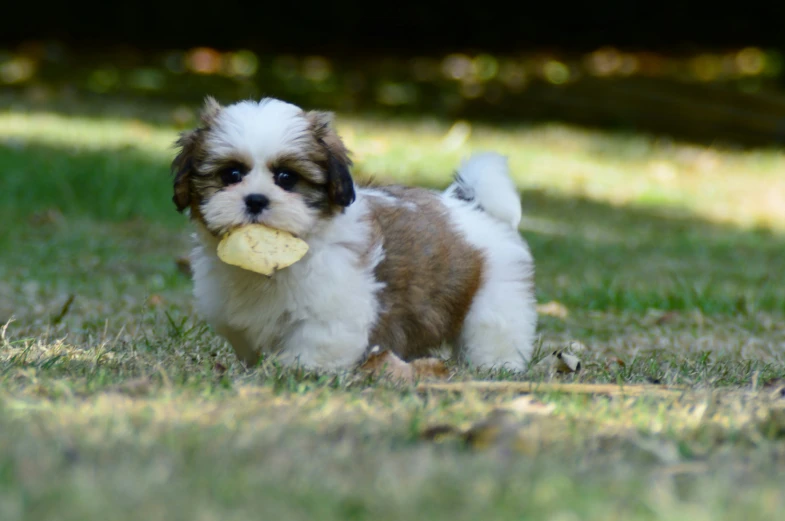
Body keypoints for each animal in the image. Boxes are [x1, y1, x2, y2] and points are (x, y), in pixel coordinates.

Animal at [172, 96, 540, 370]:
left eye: (287, 178)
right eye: (231, 175)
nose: (256, 200)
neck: (275, 259)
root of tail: (472, 205)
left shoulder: (334, 308)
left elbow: (319, 343)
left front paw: (298, 370)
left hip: (496, 297)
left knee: (494, 331)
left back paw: (496, 366)